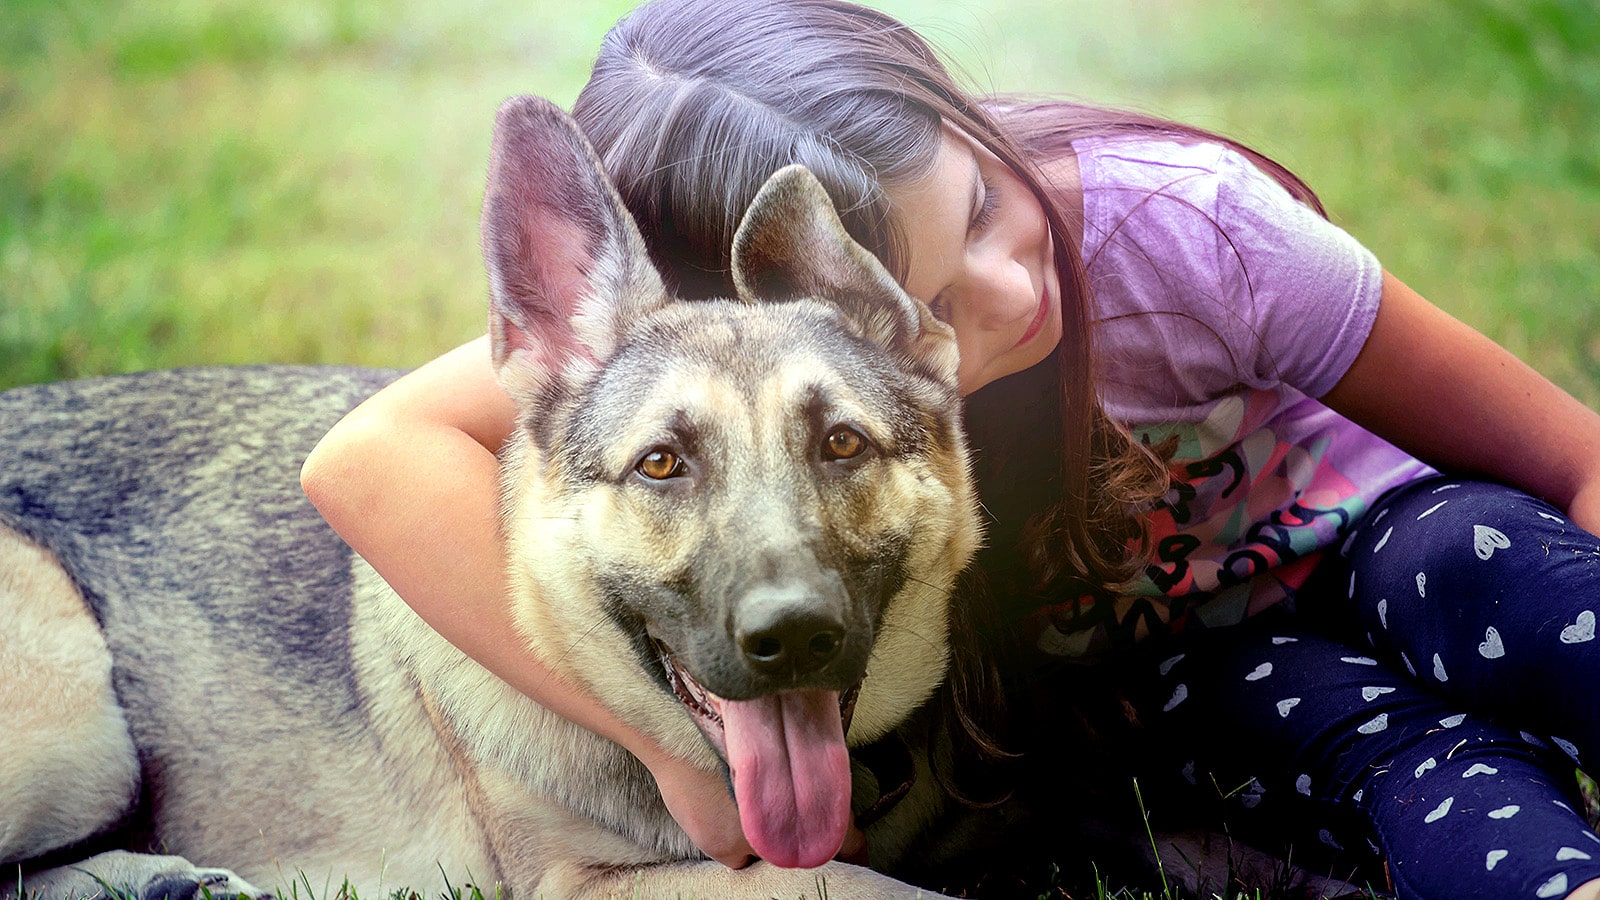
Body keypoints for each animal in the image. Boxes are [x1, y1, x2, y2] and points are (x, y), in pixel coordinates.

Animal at [0, 98, 979, 896]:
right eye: (661, 464)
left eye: (842, 444)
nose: (795, 636)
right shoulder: (587, 884)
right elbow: (863, 887)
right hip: (74, 709)